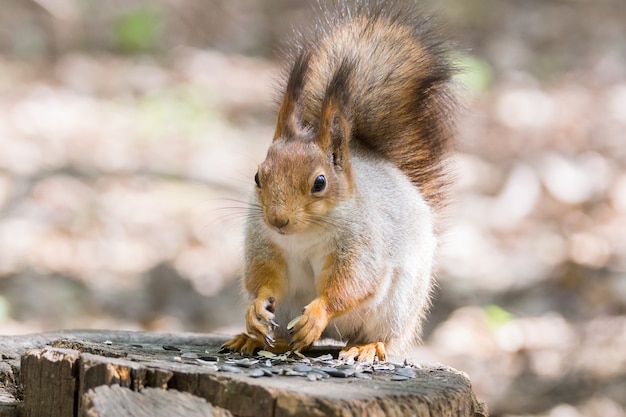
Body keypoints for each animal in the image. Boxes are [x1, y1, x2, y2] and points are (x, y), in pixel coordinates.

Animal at [222, 0, 456, 360]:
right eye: (258, 176)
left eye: (320, 182)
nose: (278, 220)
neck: (304, 234)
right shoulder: (262, 240)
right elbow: (264, 278)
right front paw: (255, 309)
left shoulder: (362, 244)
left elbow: (351, 285)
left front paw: (318, 313)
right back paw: (256, 339)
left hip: (398, 308)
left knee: (387, 337)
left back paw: (365, 346)